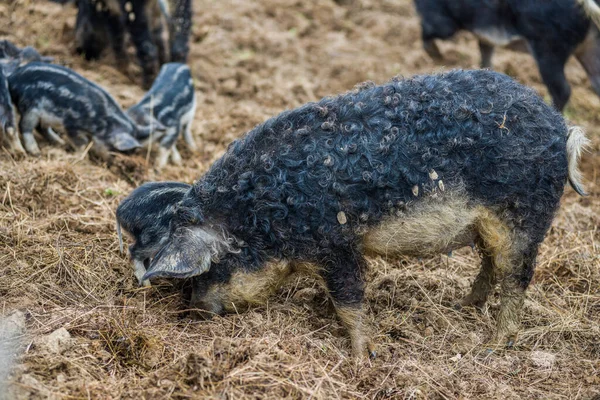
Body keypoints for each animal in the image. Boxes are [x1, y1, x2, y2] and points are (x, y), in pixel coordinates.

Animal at [7, 61, 151, 157]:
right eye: (115, 150)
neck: (101, 119)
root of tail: (13, 78)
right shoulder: (71, 123)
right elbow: (82, 142)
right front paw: (81, 156)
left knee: (41, 128)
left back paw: (60, 143)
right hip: (30, 107)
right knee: (24, 126)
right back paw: (36, 152)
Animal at [138, 69, 588, 360]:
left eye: (210, 269)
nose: (194, 312)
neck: (262, 215)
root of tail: (562, 130)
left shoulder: (336, 243)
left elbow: (349, 298)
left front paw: (362, 357)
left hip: (524, 215)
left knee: (517, 277)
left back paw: (492, 347)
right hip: (489, 225)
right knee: (491, 265)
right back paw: (463, 306)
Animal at [414, 0, 600, 111]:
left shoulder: (438, 17)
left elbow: (428, 33)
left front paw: (439, 59)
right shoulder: (485, 36)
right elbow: (485, 53)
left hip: (549, 46)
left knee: (563, 90)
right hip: (589, 46)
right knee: (595, 82)